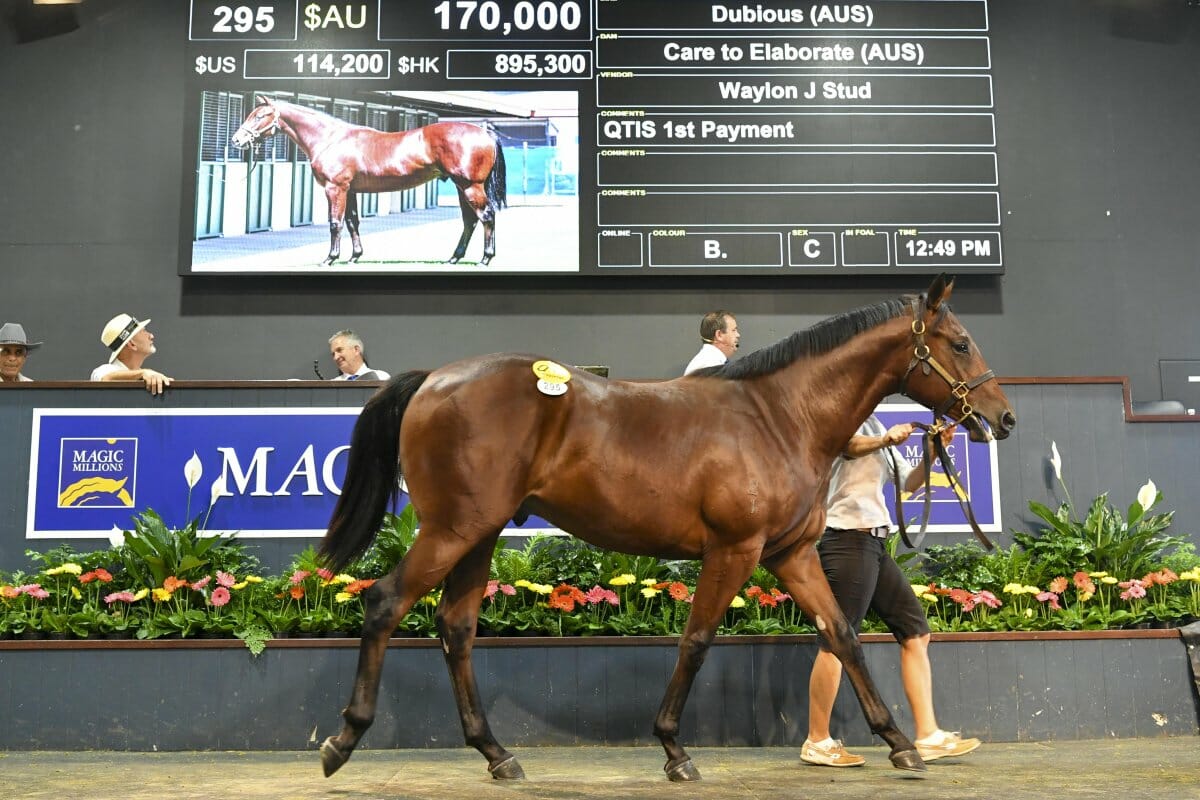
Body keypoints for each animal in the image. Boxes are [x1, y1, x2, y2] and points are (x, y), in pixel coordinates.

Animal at [230, 95, 506, 266]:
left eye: (260, 116)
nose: (236, 140)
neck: (330, 139)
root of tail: (485, 134)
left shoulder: (335, 189)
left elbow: (335, 223)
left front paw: (330, 258)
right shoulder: (350, 191)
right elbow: (353, 222)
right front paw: (354, 257)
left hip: (470, 187)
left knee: (486, 216)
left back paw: (485, 259)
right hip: (462, 187)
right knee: (470, 221)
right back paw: (454, 258)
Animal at [316, 275, 1012, 782]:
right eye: (959, 342)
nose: (1002, 418)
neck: (778, 416)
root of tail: (432, 379)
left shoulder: (790, 552)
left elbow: (841, 632)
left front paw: (899, 743)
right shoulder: (734, 550)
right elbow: (697, 640)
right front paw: (675, 751)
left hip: (477, 535)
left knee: (455, 629)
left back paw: (497, 754)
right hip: (452, 530)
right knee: (384, 603)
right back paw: (342, 740)